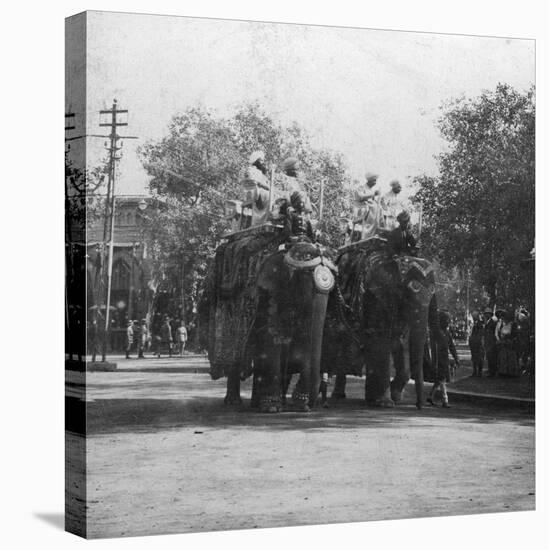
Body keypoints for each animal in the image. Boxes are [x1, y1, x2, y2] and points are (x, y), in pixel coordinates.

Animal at [326, 239, 436, 412]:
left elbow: (401, 342)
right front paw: (385, 403)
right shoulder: (376, 294)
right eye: (414, 286)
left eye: (432, 290)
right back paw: (338, 396)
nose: (419, 406)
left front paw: (394, 397)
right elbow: (381, 339)